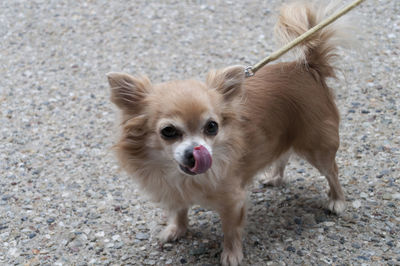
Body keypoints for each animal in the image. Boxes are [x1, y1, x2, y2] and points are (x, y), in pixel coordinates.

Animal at [106, 1, 354, 264]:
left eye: (211, 127)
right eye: (168, 131)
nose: (196, 152)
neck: (181, 177)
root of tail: (307, 68)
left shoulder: (233, 200)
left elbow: (231, 230)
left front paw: (231, 254)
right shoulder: (176, 192)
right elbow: (179, 211)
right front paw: (176, 230)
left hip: (317, 148)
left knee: (332, 172)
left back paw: (337, 201)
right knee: (283, 154)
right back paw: (275, 177)